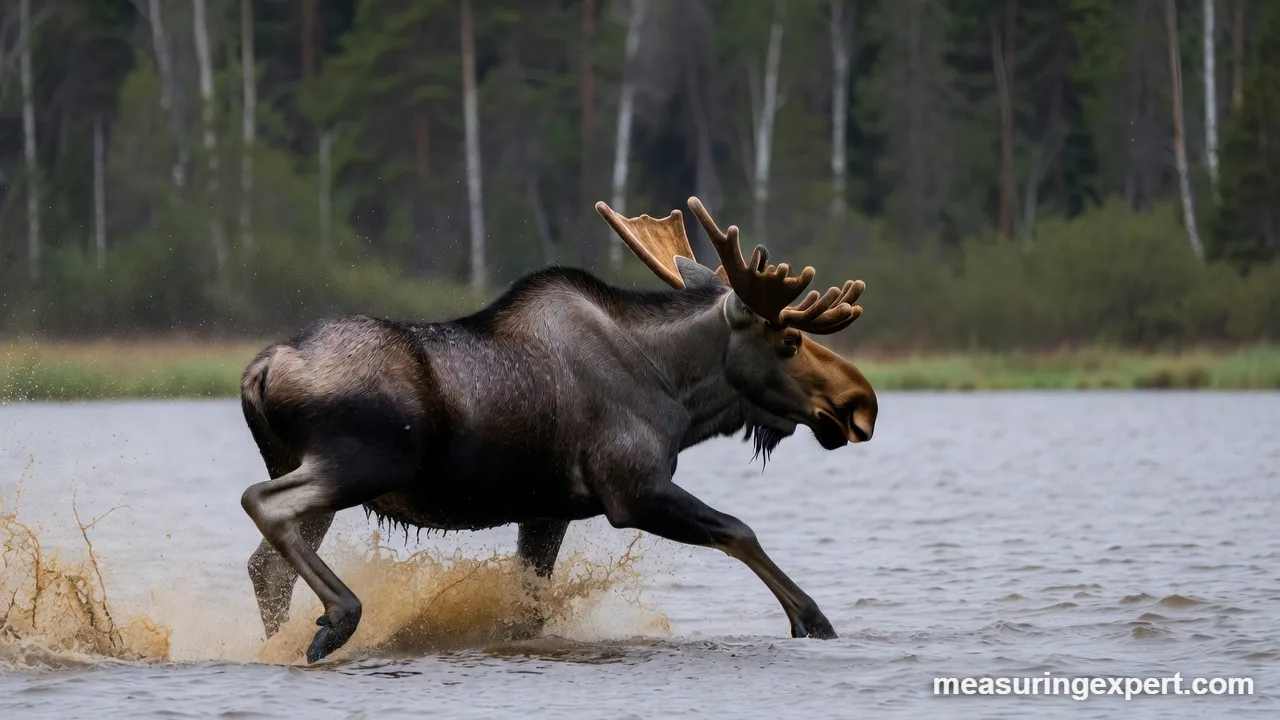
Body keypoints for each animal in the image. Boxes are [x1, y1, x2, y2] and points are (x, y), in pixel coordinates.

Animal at [238, 196, 878, 664]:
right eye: (789, 339)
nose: (860, 404)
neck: (677, 392)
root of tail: (259, 371)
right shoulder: (632, 490)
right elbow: (740, 532)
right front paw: (813, 621)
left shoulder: (547, 509)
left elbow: (529, 606)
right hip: (365, 463)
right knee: (262, 503)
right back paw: (339, 619)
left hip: (320, 470)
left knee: (267, 565)